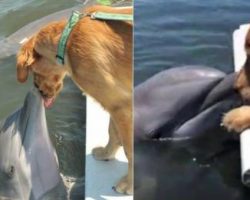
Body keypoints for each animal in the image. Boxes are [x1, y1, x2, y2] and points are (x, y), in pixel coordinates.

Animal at [16, 5, 133, 195]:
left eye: (33, 71)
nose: (38, 90)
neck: (67, 41)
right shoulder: (116, 101)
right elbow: (112, 132)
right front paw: (106, 154)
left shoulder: (122, 106)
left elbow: (130, 150)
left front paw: (129, 184)